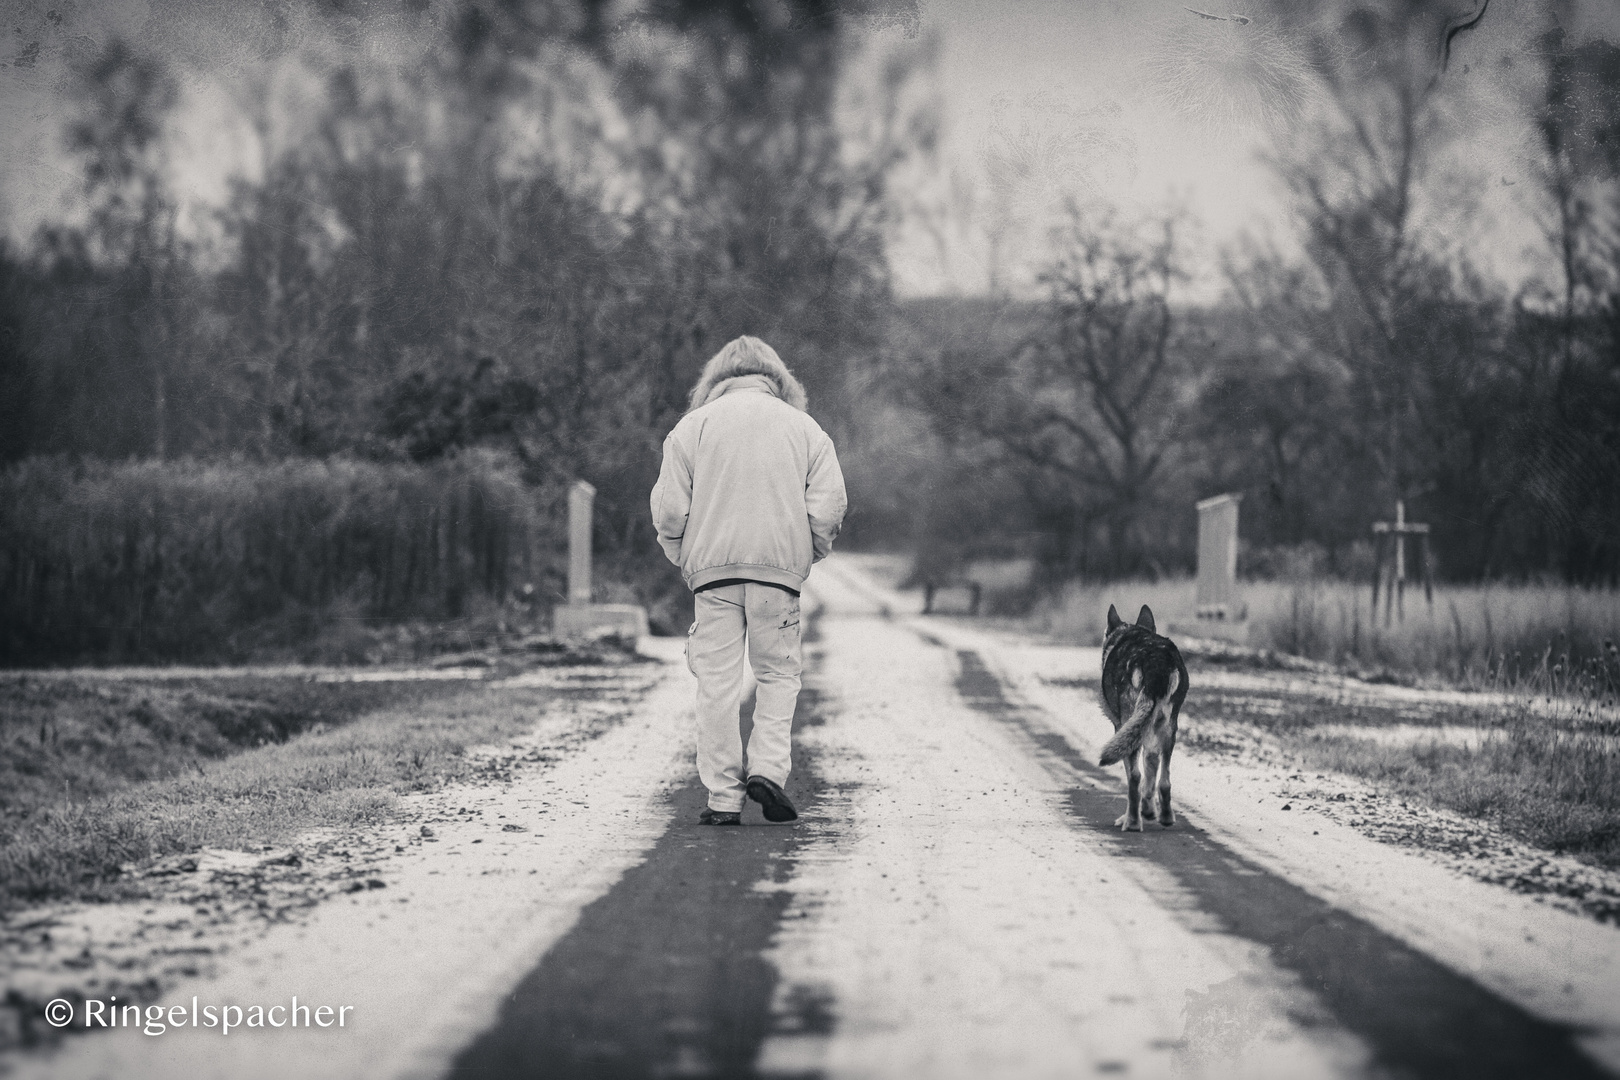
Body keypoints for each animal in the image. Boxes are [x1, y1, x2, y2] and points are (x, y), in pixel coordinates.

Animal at [1095, 605, 1185, 835]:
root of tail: (1156, 661)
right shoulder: (1149, 731)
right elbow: (1151, 773)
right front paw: (1149, 811)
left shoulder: (1120, 726)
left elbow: (1135, 777)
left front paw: (1137, 815)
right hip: (1168, 729)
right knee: (1164, 781)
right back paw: (1165, 817)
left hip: (1131, 725)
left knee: (1134, 778)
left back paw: (1132, 822)